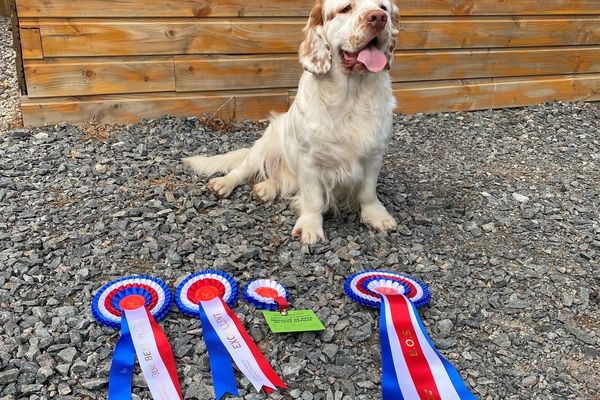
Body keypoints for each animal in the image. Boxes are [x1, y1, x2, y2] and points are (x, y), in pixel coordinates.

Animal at [183, 0, 398, 244]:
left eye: (383, 7)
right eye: (346, 8)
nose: (378, 18)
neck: (352, 97)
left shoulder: (374, 154)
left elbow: (367, 192)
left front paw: (377, 216)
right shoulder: (310, 160)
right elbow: (313, 198)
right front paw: (310, 227)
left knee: (280, 181)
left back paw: (264, 189)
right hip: (263, 146)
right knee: (243, 169)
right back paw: (224, 183)